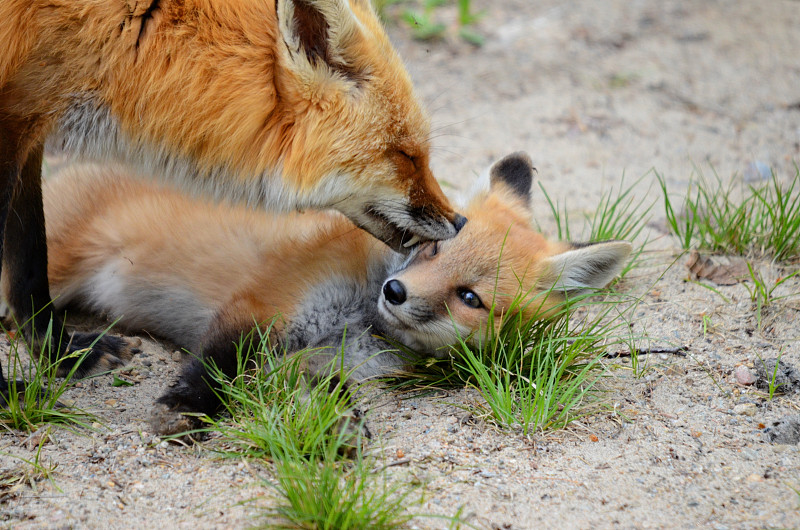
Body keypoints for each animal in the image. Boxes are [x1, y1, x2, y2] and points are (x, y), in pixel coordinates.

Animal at [0, 0, 462, 396]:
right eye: (406, 154)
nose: (459, 222)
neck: (134, 34)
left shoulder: (27, 115)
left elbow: (29, 266)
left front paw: (60, 353)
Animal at [39, 153, 632, 434]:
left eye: (470, 299)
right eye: (434, 248)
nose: (396, 291)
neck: (358, 317)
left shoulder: (325, 360)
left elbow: (330, 392)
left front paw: (342, 428)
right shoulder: (264, 307)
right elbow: (217, 367)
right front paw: (185, 408)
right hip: (53, 272)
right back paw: (80, 353)